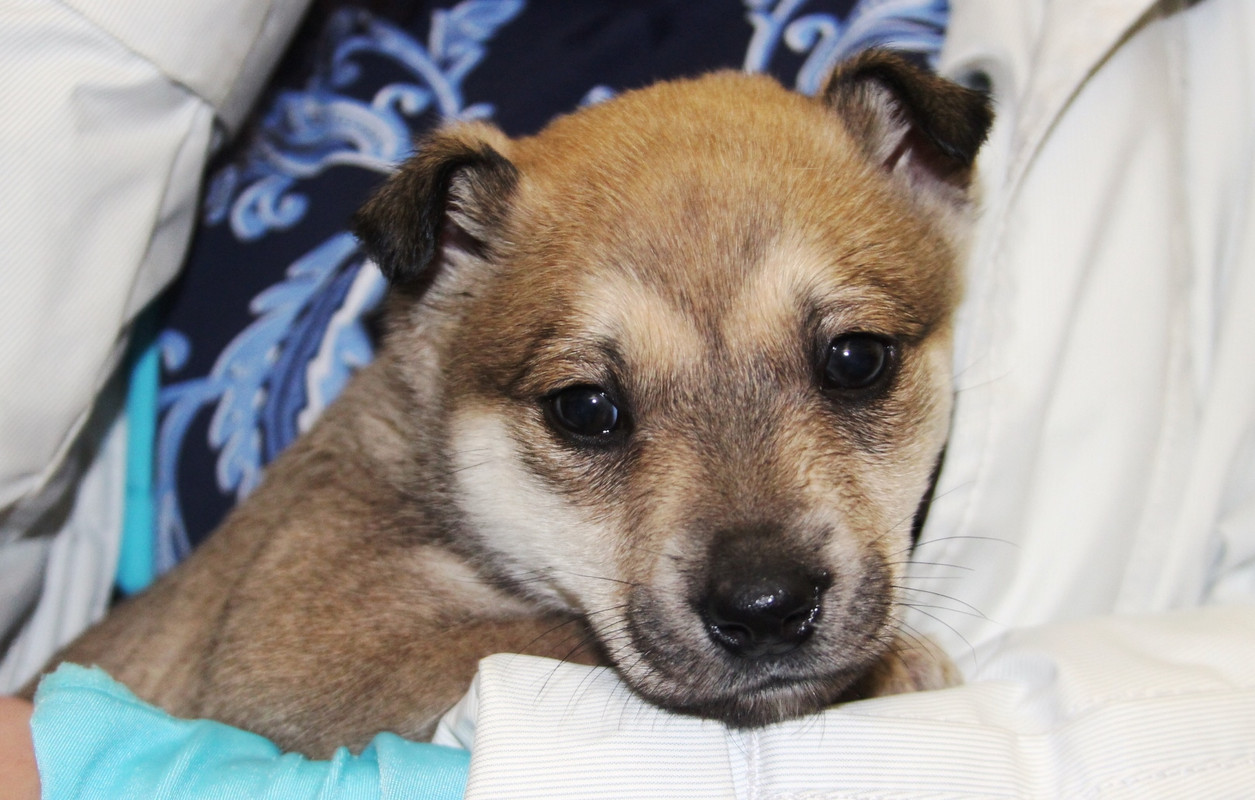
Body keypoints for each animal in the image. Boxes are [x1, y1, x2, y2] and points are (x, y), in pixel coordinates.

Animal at [30, 50, 991, 758]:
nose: (766, 608)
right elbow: (538, 637)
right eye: (585, 409)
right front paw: (899, 667)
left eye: (855, 360)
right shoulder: (308, 645)